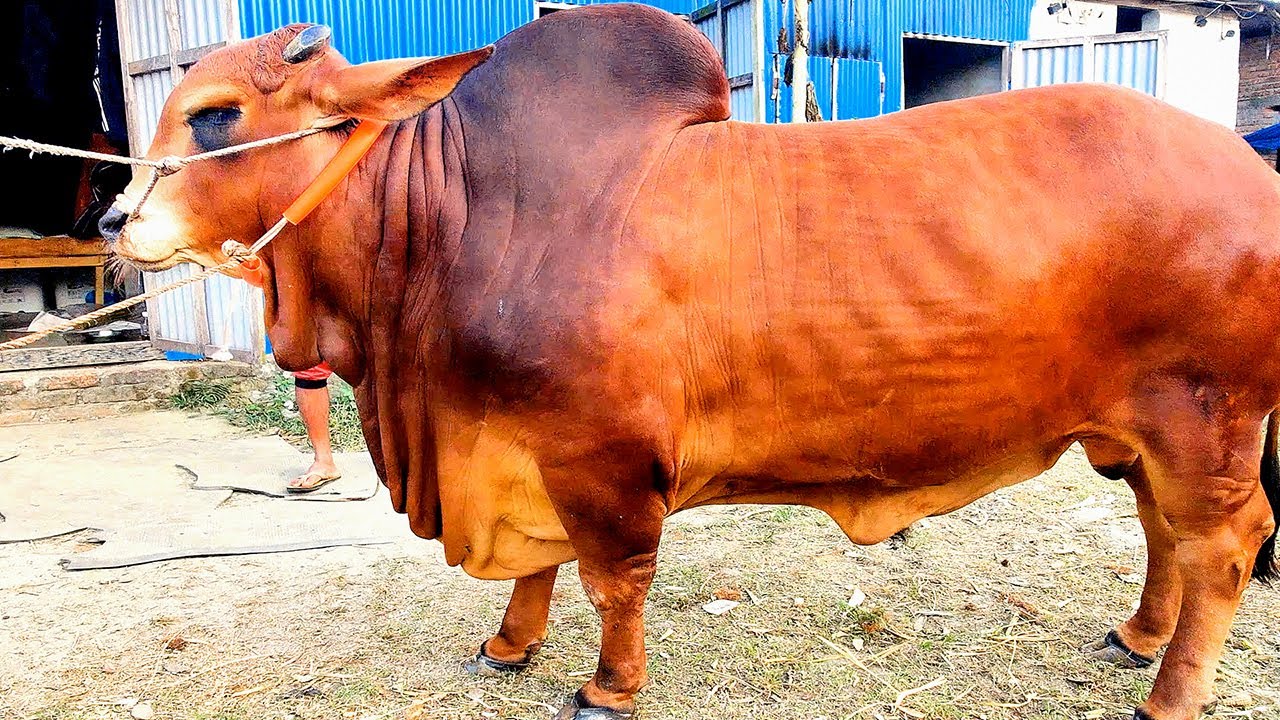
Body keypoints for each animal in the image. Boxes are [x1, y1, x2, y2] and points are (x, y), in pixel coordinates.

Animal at [97, 5, 1279, 719]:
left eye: (217, 116)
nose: (114, 220)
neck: (458, 212)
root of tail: (1245, 165)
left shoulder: (599, 458)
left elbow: (612, 578)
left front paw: (606, 687)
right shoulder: (515, 442)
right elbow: (536, 568)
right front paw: (508, 646)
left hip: (1202, 418)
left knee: (1222, 547)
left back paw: (1170, 693)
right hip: (1136, 434)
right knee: (1162, 536)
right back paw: (1136, 637)